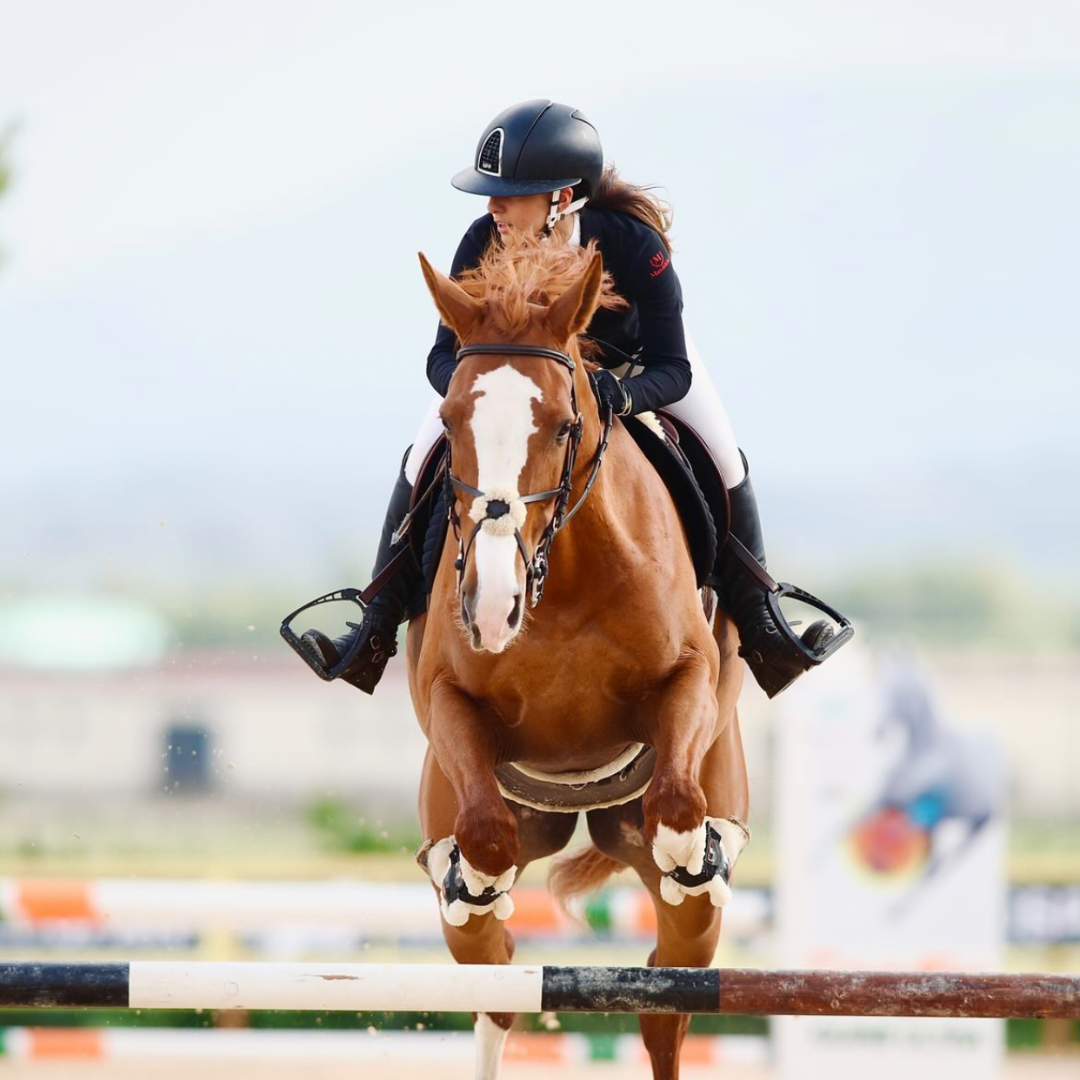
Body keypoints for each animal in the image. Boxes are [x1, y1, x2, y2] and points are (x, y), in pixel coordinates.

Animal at [406, 238, 751, 1080]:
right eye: (449, 420)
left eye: (564, 426)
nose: (490, 606)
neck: (559, 582)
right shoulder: (447, 701)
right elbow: (485, 840)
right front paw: (475, 877)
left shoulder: (690, 679)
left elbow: (678, 809)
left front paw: (694, 854)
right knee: (497, 986)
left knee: (665, 1001)